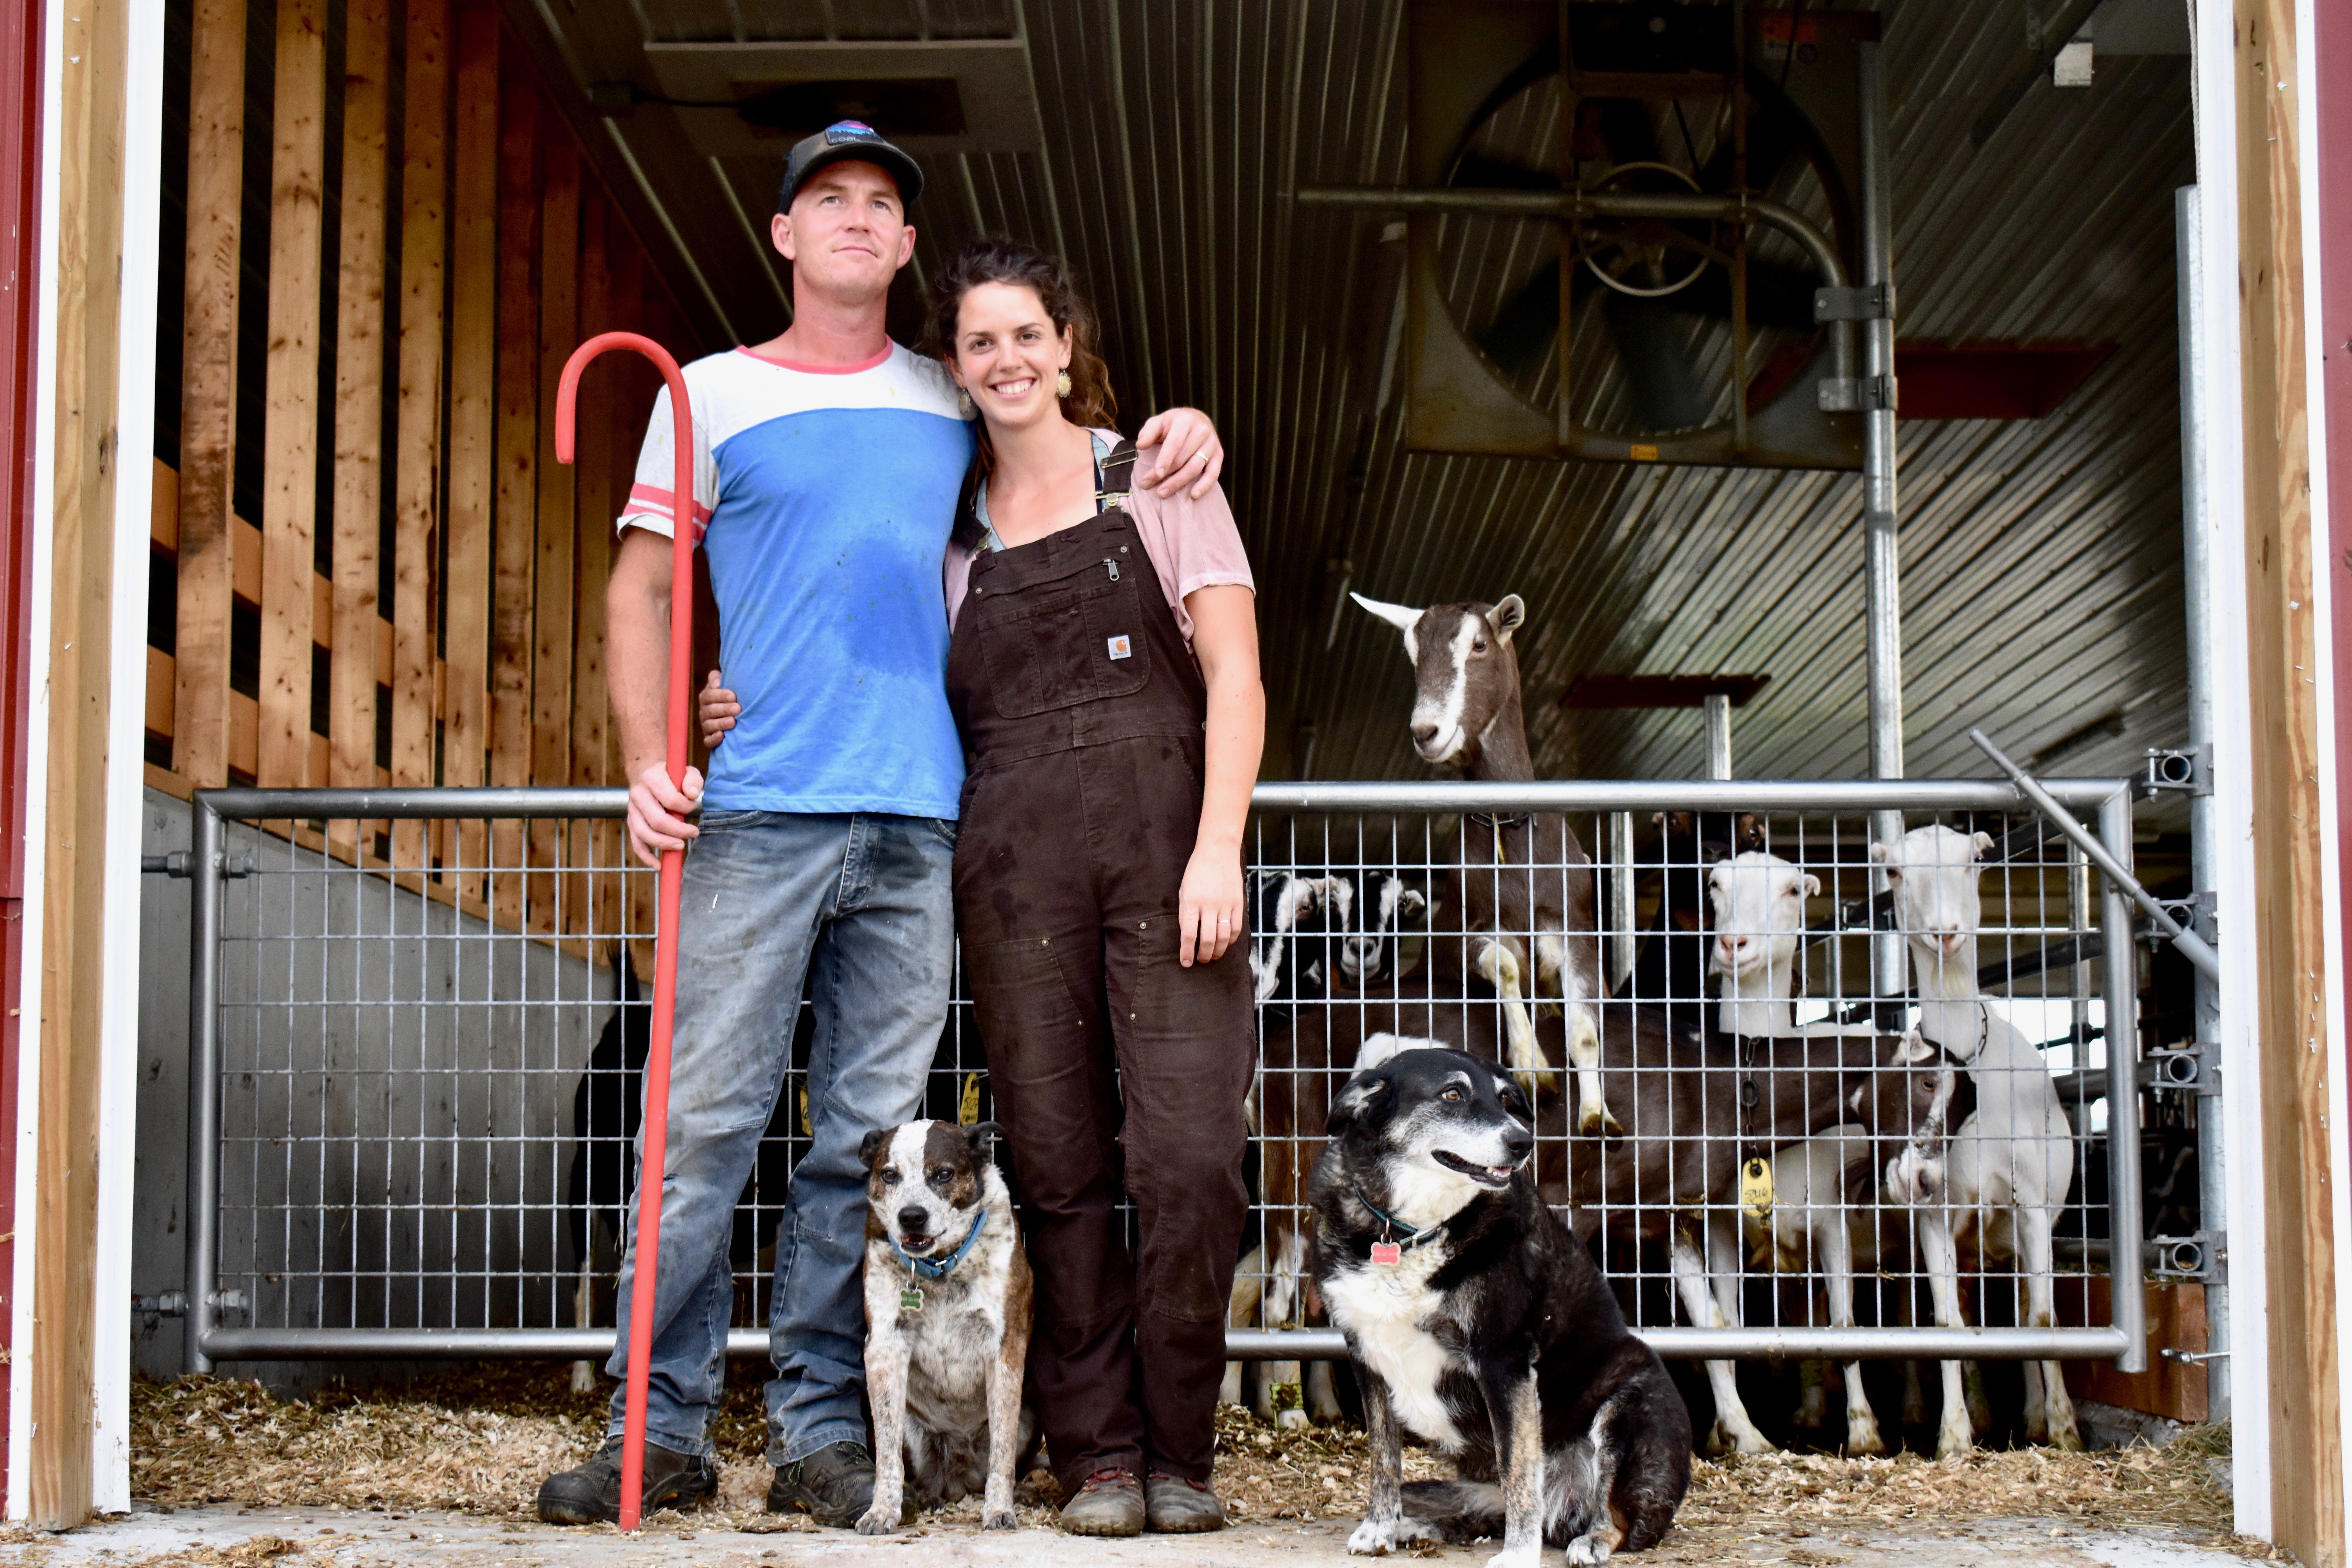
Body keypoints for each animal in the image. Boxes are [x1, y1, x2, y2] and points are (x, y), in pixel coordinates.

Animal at [851, 1123, 1025, 1542]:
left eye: (944, 1174)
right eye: (889, 1175)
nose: (911, 1217)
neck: (940, 1266)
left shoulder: (1006, 1345)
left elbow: (1003, 1450)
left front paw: (1000, 1510)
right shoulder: (884, 1348)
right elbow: (887, 1455)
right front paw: (882, 1512)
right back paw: (926, 1497)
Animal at [1317, 1048, 1703, 1561]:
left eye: (1504, 1099)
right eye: (1452, 1094)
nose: (1523, 1142)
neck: (1408, 1229)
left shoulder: (1503, 1362)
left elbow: (1519, 1468)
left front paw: (1519, 1555)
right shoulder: (1367, 1359)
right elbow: (1385, 1458)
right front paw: (1378, 1527)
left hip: (1631, 1400)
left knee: (1616, 1519)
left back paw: (1591, 1540)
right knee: (1474, 1510)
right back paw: (1416, 1527)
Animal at [1863, 827, 2089, 1457]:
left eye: (1974, 861)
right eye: (1894, 872)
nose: (1945, 931)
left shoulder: (2031, 1203)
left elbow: (2042, 1321)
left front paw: (2064, 1430)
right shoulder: (1935, 1213)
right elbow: (1948, 1325)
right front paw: (1954, 1437)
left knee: (2021, 1309)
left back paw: (2034, 1417)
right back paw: (1978, 1413)